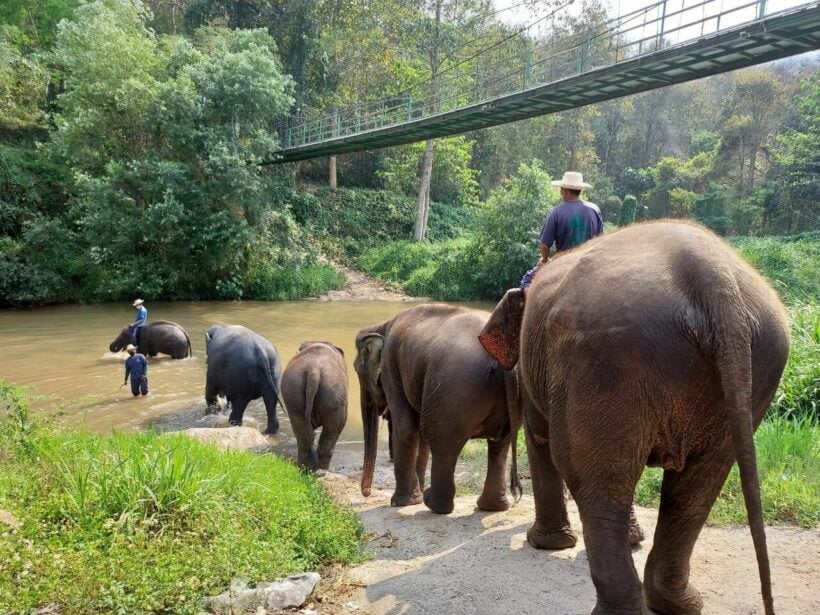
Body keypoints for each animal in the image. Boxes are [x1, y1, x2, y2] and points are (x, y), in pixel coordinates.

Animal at [282, 342, 350, 472]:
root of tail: (314, 370)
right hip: (335, 395)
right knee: (333, 430)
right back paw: (321, 470)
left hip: (295, 393)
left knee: (303, 433)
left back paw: (304, 468)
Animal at [352, 304, 520, 516]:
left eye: (356, 369)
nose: (366, 492)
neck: (382, 324)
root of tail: (505, 362)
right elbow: (420, 435)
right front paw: (415, 493)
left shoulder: (391, 366)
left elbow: (407, 428)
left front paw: (401, 503)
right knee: (500, 445)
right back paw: (490, 507)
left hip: (454, 391)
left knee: (442, 441)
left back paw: (433, 503)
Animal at [480, 223, 788, 615]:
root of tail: (713, 278)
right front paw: (630, 539)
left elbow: (541, 439)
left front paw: (545, 545)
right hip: (755, 365)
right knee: (697, 484)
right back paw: (677, 602)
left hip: (604, 356)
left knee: (596, 480)